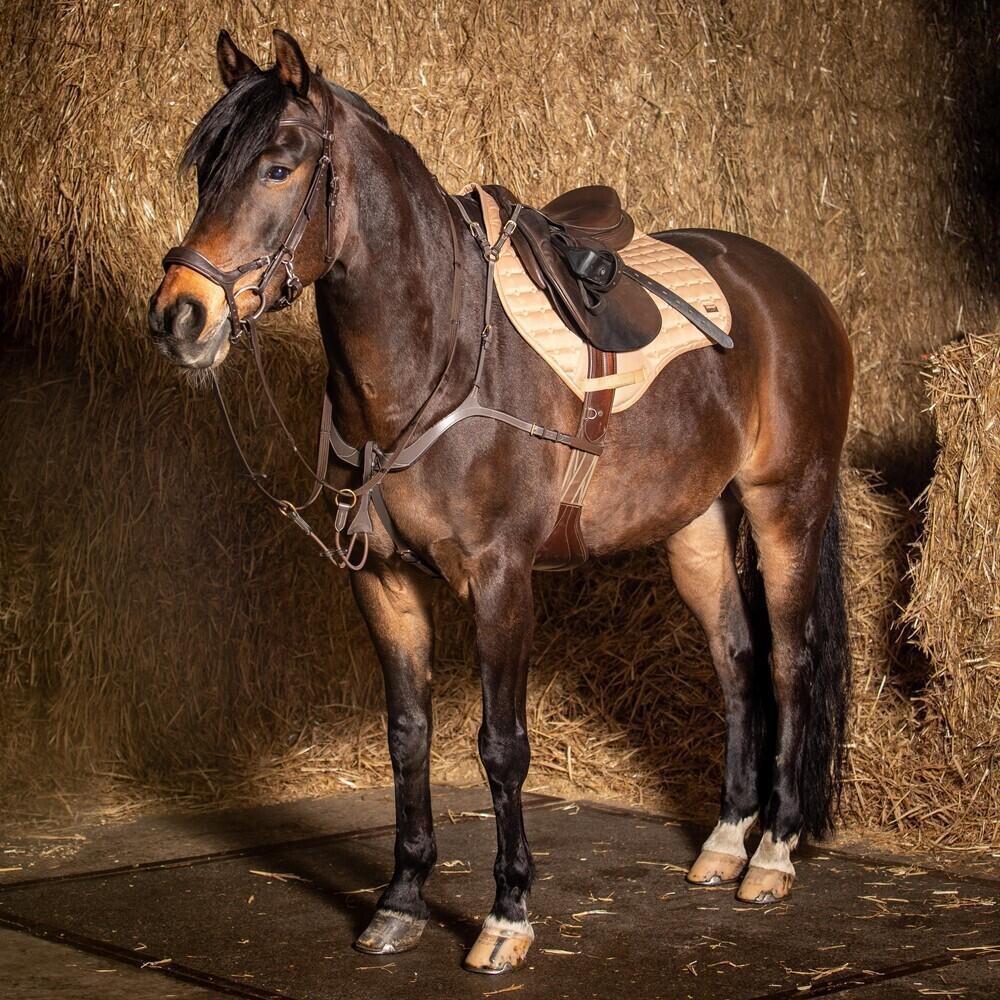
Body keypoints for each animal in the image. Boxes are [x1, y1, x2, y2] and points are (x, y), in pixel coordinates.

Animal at [148, 29, 853, 975]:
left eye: (278, 166)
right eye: (205, 169)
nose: (180, 318)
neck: (434, 354)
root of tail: (793, 290)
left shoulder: (499, 581)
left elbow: (501, 746)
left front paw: (507, 914)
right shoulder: (382, 581)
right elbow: (408, 734)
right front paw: (401, 899)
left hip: (786, 506)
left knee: (788, 662)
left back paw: (772, 855)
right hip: (696, 523)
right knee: (736, 658)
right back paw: (722, 843)